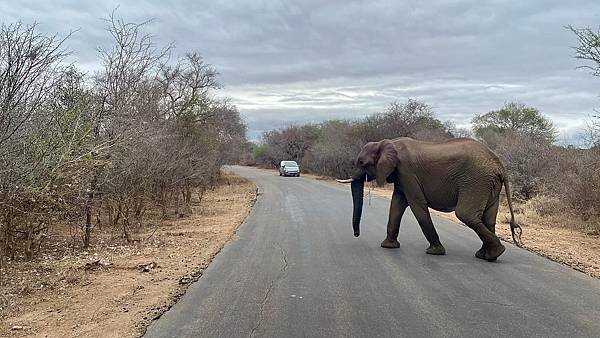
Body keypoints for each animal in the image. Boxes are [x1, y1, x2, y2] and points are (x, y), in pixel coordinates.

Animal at [340, 137, 524, 262]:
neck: (387, 143)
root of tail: (499, 165)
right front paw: (388, 246)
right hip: (489, 184)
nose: (356, 234)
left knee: (465, 215)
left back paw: (495, 253)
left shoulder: (407, 172)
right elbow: (397, 204)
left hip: (476, 180)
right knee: (488, 219)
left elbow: (416, 204)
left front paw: (435, 252)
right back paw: (487, 256)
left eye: (362, 163)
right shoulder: (401, 176)